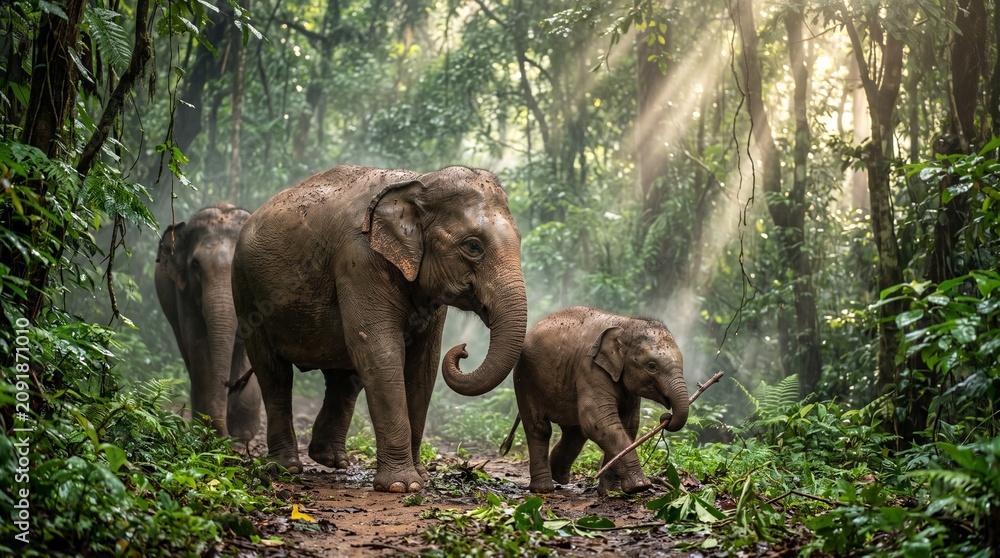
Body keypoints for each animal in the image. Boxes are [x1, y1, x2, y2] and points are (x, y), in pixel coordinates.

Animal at [155, 203, 263, 441]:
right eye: (195, 266)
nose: (224, 436)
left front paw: (241, 434)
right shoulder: (184, 292)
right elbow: (197, 343)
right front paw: (207, 430)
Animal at [231, 165, 528, 493]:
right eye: (473, 246)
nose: (463, 350)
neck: (421, 181)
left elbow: (424, 365)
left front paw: (420, 477)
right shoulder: (359, 261)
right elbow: (382, 352)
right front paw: (402, 486)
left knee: (345, 377)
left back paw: (331, 460)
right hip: (245, 288)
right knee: (274, 374)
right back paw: (287, 467)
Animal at [501, 306, 688, 495]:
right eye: (652, 366)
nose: (666, 417)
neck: (626, 323)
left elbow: (628, 424)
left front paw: (611, 491)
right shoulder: (590, 368)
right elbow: (599, 421)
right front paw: (639, 486)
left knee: (575, 433)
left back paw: (559, 477)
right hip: (525, 378)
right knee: (540, 428)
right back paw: (543, 489)